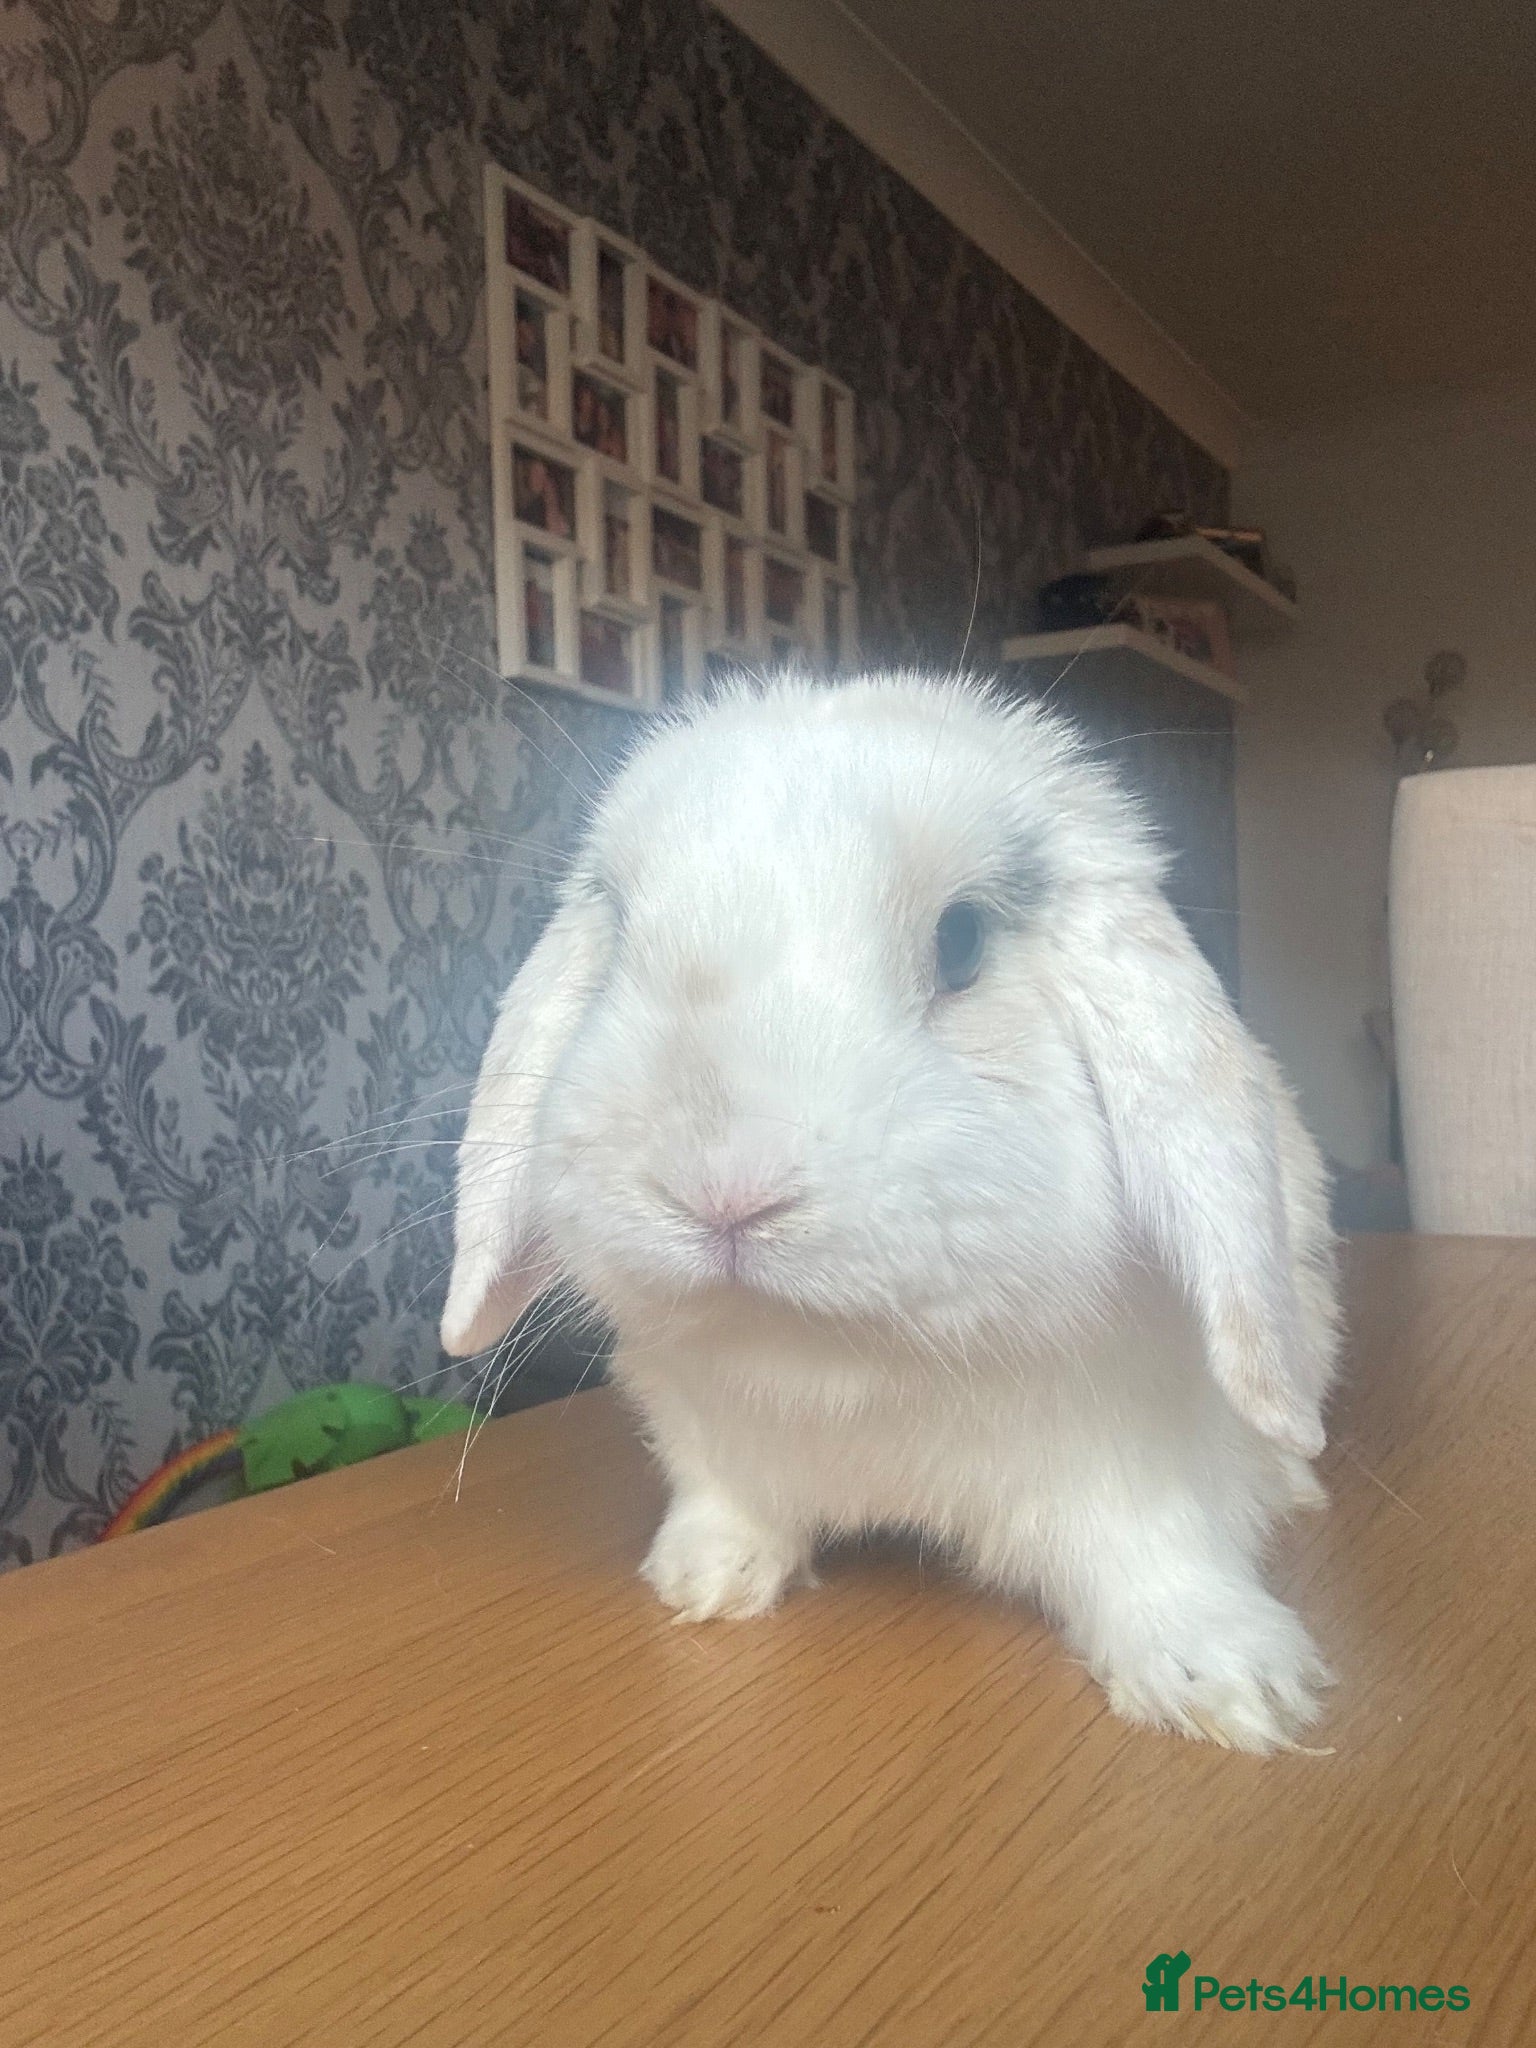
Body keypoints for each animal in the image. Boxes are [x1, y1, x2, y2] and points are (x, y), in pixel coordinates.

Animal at [440, 673, 1342, 1752]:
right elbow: (726, 1501)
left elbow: (1159, 1555)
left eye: (962, 941)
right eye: (618, 937)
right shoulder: (709, 1434)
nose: (721, 1186)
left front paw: (1229, 1687)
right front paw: (702, 1579)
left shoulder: (1139, 1467)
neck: (847, 1359)